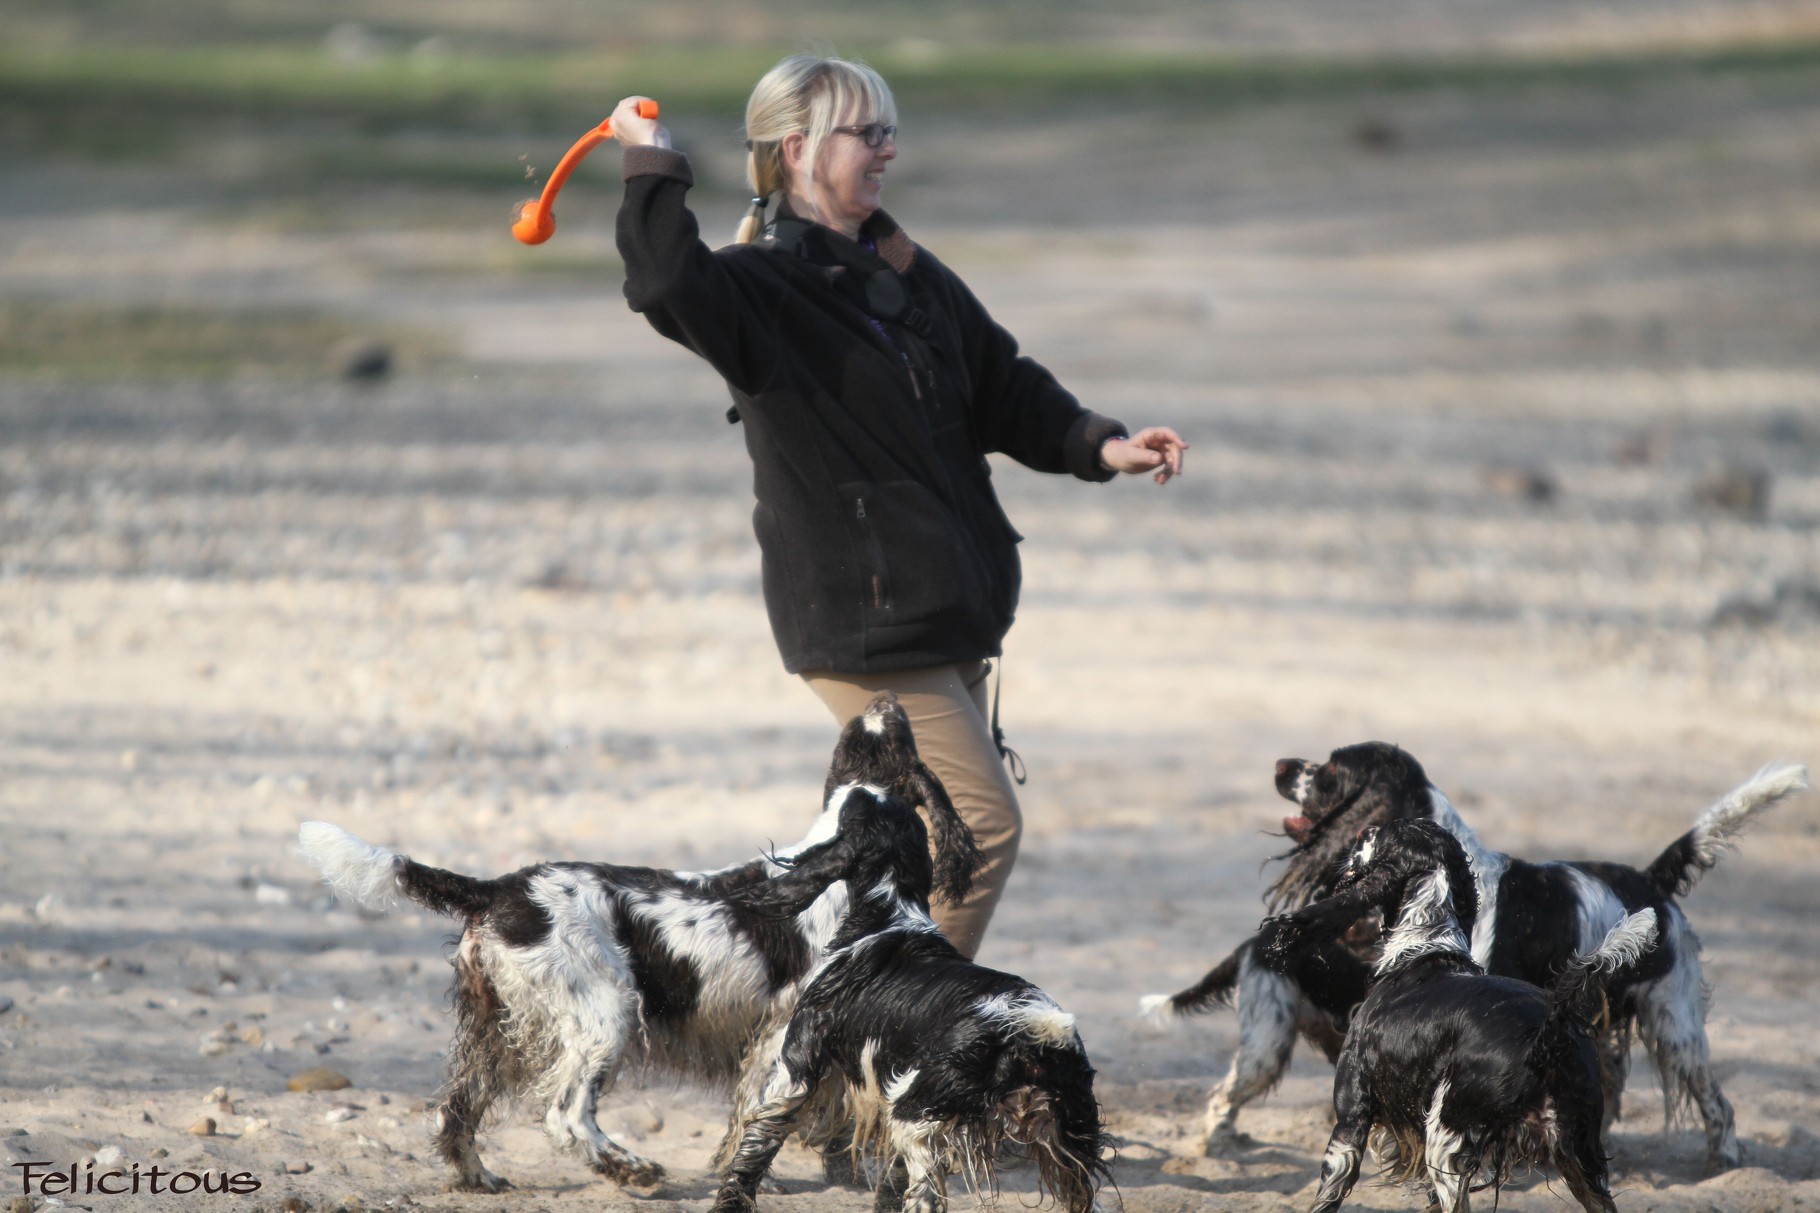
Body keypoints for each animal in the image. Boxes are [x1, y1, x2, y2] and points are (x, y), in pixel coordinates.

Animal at [298, 688, 982, 1187]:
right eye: (890, 741)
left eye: (861, 746)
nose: (886, 697)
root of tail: (498, 890)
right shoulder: (784, 1035)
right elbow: (758, 1117)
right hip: (607, 1013)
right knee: (565, 1115)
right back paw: (633, 1170)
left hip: (495, 1031)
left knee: (453, 1113)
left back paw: (481, 1179)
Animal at [1259, 812, 1659, 1209]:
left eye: (1381, 834)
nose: (1361, 830)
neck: (1423, 946)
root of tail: (1549, 1034)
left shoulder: (1350, 1123)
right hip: (1581, 1158)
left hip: (1446, 1140)